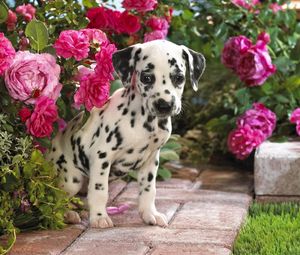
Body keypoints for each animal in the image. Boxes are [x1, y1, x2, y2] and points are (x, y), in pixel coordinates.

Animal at [48, 40, 205, 229]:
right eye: (146, 78)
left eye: (179, 78)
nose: (164, 105)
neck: (144, 122)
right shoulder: (101, 156)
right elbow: (99, 190)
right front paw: (99, 217)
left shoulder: (151, 160)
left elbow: (148, 190)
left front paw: (150, 214)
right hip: (71, 179)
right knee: (58, 199)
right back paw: (68, 214)